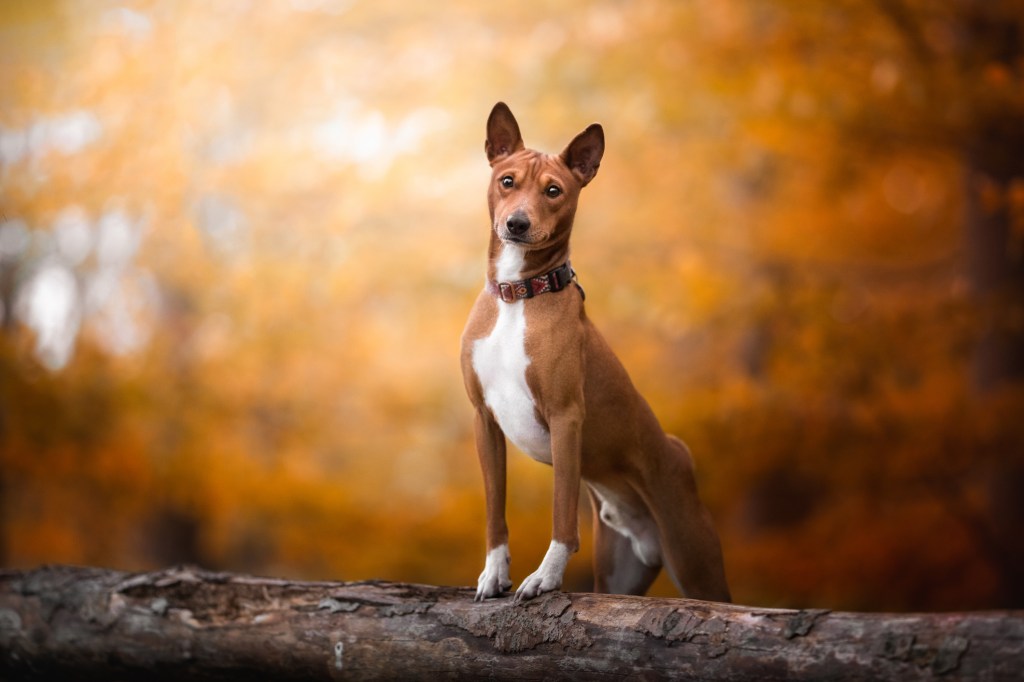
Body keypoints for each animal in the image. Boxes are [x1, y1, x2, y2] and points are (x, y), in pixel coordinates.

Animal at [460, 100, 733, 602]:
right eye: (507, 181)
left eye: (553, 190)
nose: (517, 223)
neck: (518, 295)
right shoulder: (484, 420)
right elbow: (494, 511)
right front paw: (494, 573)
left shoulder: (566, 415)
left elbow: (562, 510)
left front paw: (545, 576)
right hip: (620, 574)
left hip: (695, 561)